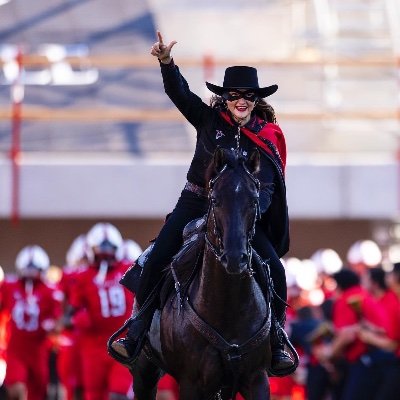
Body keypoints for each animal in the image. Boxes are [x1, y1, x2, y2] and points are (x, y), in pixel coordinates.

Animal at [131, 149, 272, 400]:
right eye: (215, 200)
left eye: (254, 200)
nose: (234, 257)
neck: (228, 308)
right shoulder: (192, 383)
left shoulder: (256, 377)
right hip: (144, 370)